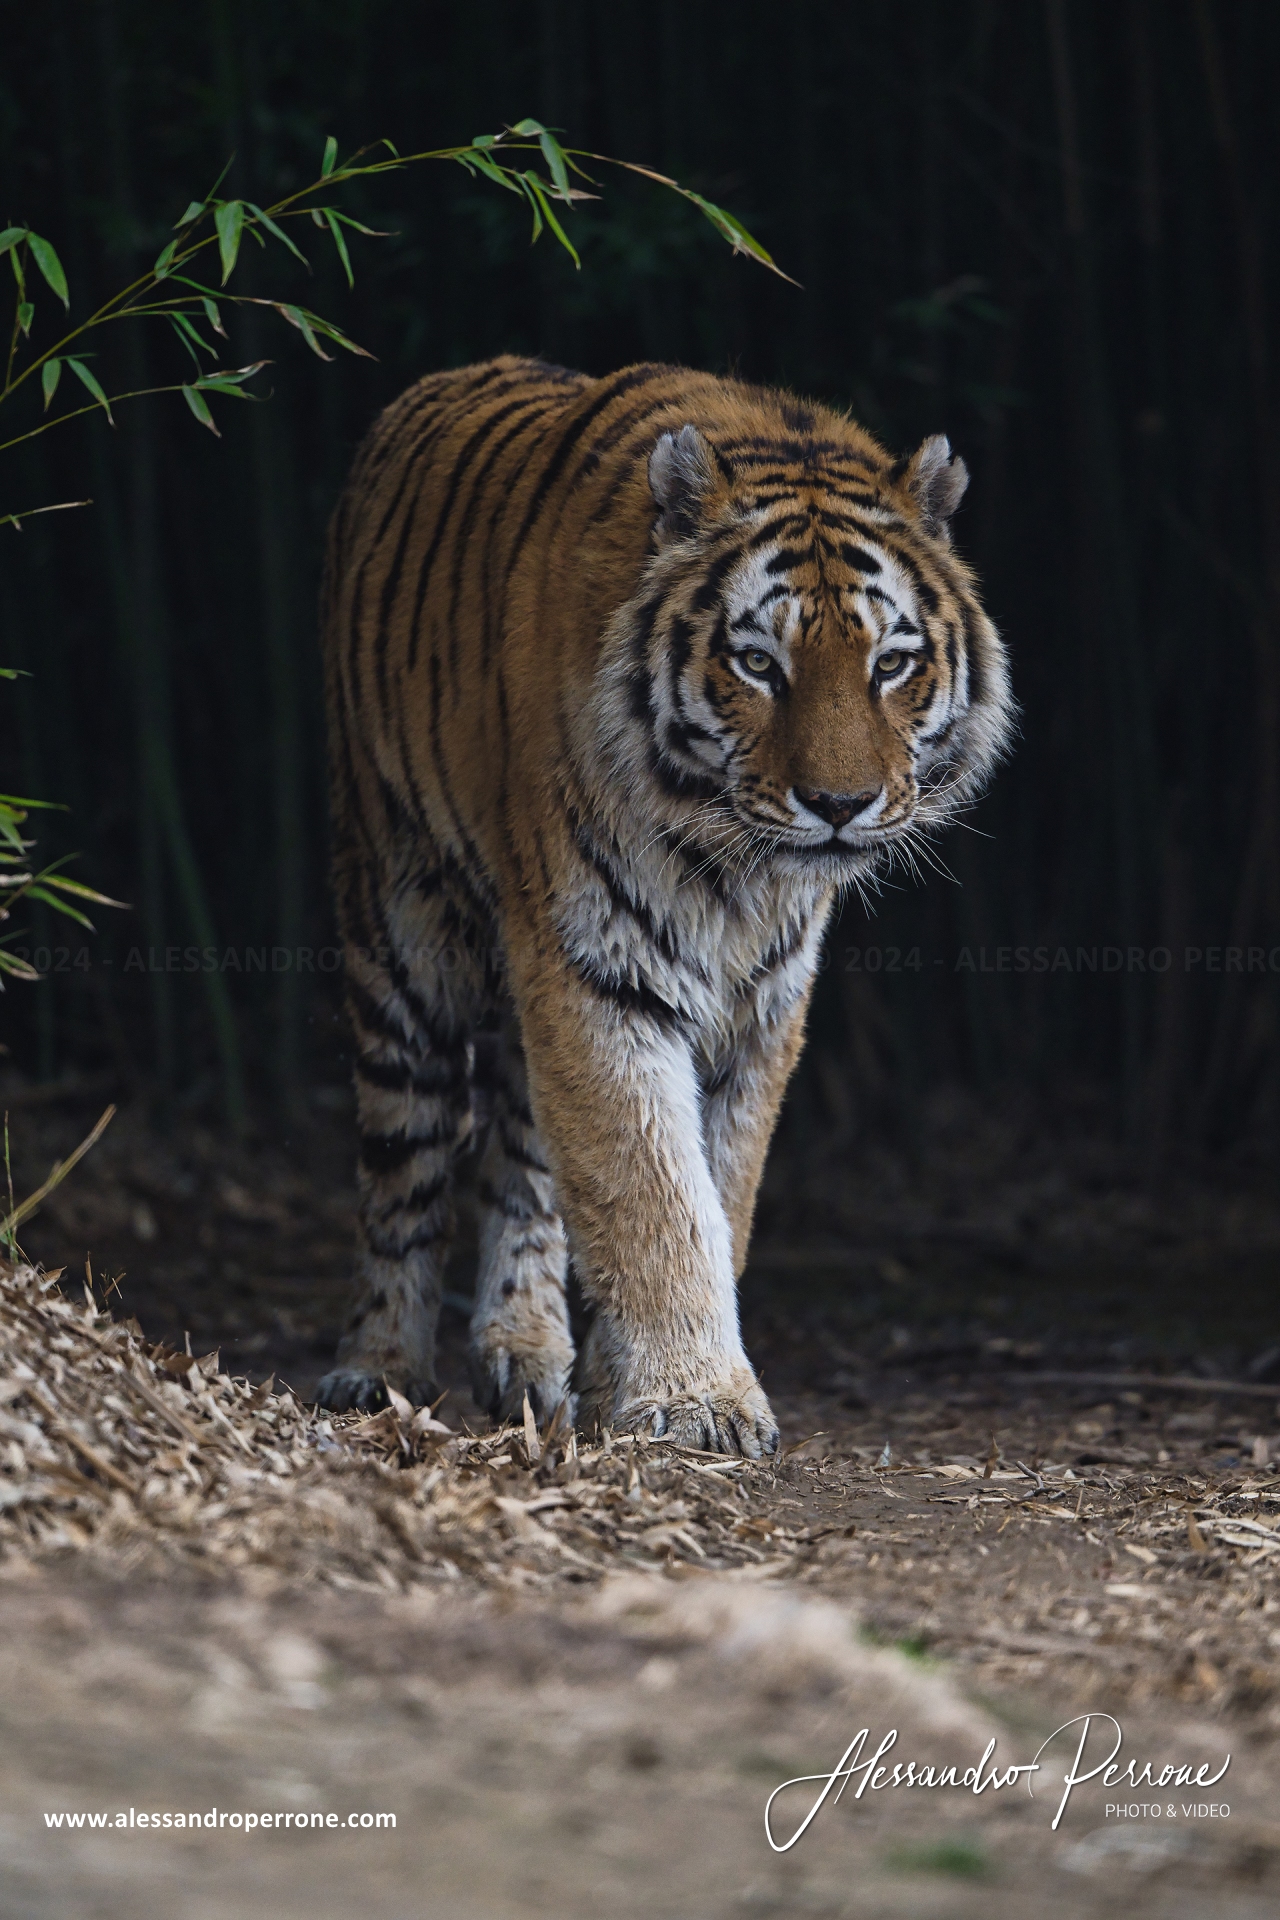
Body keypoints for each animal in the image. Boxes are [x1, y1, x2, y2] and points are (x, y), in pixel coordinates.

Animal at [315, 355, 1014, 1455]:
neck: (735, 871)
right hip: (396, 927)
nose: (839, 806)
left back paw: (527, 1357)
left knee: (524, 1166)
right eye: (757, 664)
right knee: (404, 1167)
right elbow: (650, 1188)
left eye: (890, 664)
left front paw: (627, 1389)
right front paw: (696, 1401)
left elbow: (710, 1190)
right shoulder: (593, 967)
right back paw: (376, 1369)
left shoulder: (764, 1001)